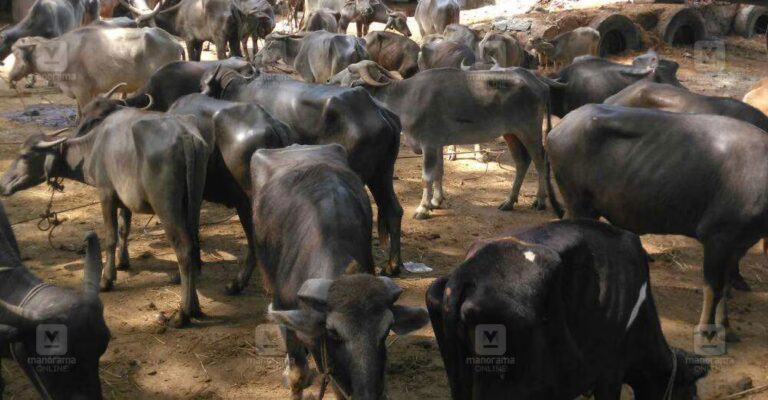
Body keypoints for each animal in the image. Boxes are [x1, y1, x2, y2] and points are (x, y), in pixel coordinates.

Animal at [0, 92, 211, 328]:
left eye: (25, 156)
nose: (3, 184)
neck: (95, 145)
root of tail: (185, 136)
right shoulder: (125, 199)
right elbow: (123, 230)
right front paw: (123, 262)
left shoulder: (106, 194)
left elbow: (110, 237)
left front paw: (107, 279)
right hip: (193, 202)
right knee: (194, 245)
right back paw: (195, 306)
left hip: (167, 207)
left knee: (184, 250)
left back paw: (183, 313)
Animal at [8, 26, 183, 117]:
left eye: (15, 54)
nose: (10, 76)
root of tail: (174, 41)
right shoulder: (89, 92)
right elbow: (79, 114)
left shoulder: (82, 90)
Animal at [330, 60, 552, 220]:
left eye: (350, 69)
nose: (330, 80)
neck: (405, 97)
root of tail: (538, 83)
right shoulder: (437, 145)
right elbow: (439, 172)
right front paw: (436, 201)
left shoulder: (428, 144)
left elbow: (427, 177)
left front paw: (423, 208)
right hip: (511, 134)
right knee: (522, 162)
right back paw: (509, 201)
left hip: (530, 130)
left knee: (540, 160)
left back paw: (540, 200)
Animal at [546, 103, 768, 343]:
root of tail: (558, 128)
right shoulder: (716, 239)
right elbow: (714, 288)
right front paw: (706, 330)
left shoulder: (738, 245)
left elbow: (726, 286)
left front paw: (726, 328)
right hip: (579, 204)